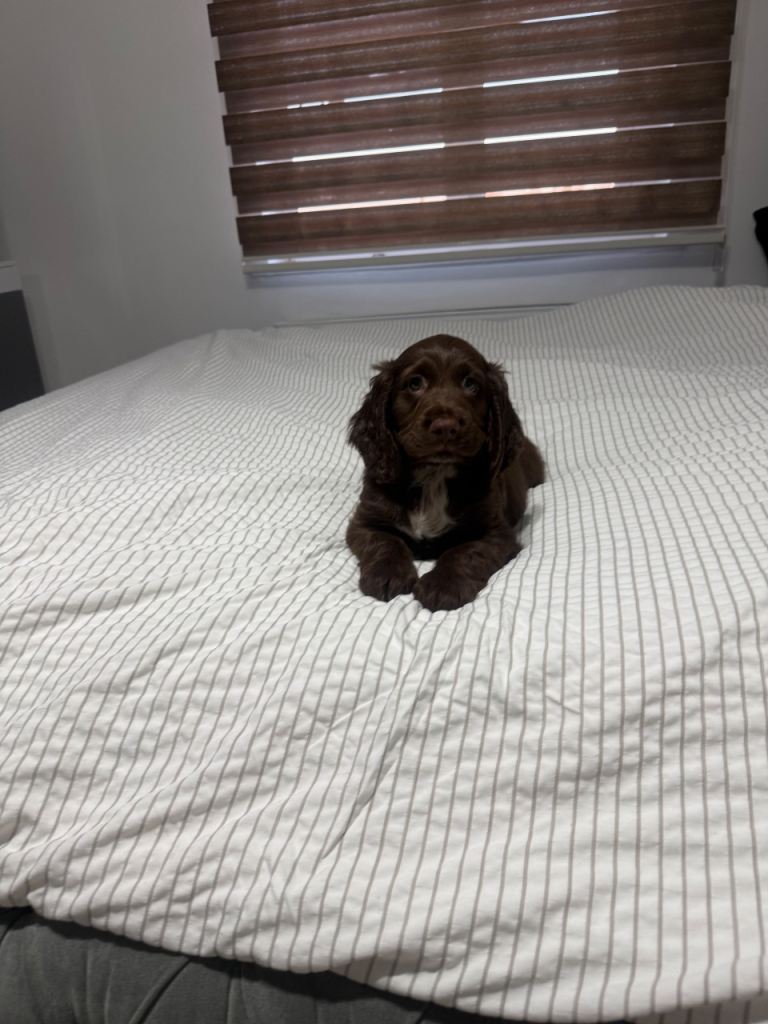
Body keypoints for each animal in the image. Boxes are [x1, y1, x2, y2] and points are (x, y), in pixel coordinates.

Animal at [346, 333, 544, 612]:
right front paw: (387, 575)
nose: (445, 426)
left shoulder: (496, 534)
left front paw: (442, 586)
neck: (434, 476)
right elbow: (386, 542)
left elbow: (463, 552)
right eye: (415, 383)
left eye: (471, 385)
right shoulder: (365, 522)